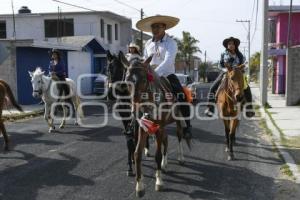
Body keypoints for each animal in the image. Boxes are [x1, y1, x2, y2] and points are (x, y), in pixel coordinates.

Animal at [124, 56, 190, 197]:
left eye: (144, 80)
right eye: (127, 80)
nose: (135, 110)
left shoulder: (159, 127)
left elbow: (157, 154)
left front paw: (159, 181)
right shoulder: (143, 128)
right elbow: (137, 154)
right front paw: (139, 186)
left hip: (176, 122)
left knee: (179, 136)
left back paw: (180, 157)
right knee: (166, 140)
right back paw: (165, 164)